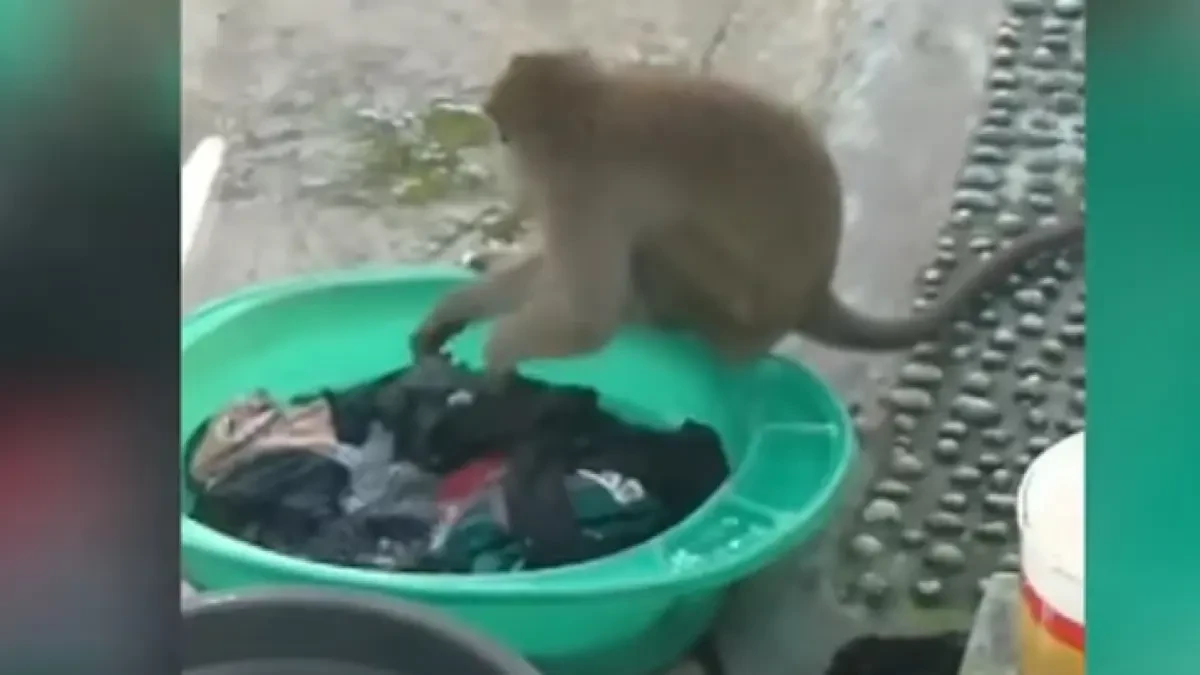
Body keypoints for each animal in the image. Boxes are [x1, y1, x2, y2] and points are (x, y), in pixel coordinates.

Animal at [410, 49, 1084, 374]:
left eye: (506, 137)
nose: (509, 171)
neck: (588, 108)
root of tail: (812, 295)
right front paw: (451, 311)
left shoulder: (584, 189)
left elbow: (587, 315)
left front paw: (497, 353)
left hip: (722, 304)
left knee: (661, 244)